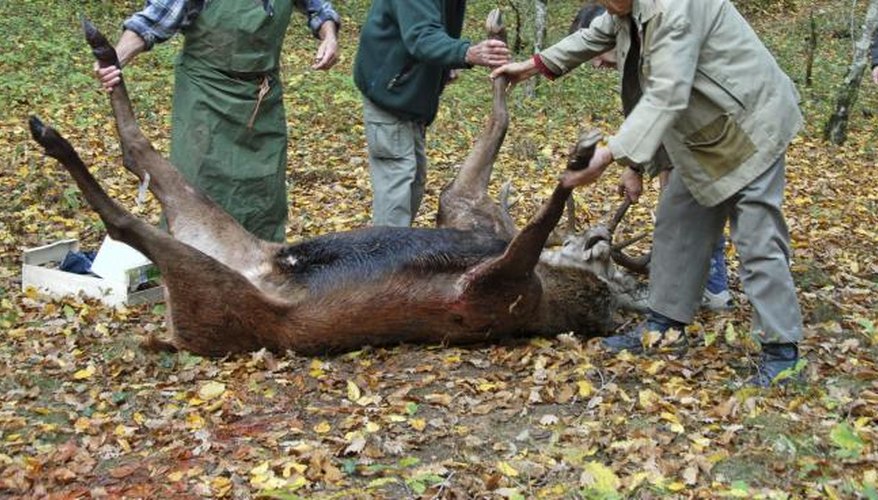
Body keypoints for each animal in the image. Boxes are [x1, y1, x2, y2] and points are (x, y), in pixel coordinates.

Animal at [27, 11, 644, 356]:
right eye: (603, 255)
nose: (598, 237)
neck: (552, 289)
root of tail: (171, 331)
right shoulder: (462, 206)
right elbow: (499, 121)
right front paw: (498, 51)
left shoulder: (492, 289)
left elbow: (541, 199)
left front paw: (582, 155)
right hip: (215, 241)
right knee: (137, 155)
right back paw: (98, 57)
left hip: (213, 291)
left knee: (125, 215)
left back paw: (55, 131)